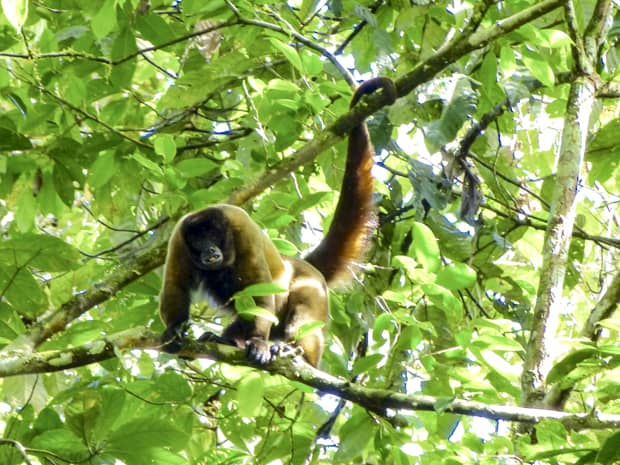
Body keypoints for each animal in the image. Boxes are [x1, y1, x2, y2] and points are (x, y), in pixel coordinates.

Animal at [160, 77, 398, 366]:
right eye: (198, 239)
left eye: (213, 234)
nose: (210, 250)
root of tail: (300, 263)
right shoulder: (178, 241)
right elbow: (175, 286)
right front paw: (174, 330)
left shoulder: (243, 230)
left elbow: (260, 293)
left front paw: (258, 343)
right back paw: (227, 340)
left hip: (313, 289)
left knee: (301, 315)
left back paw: (294, 352)